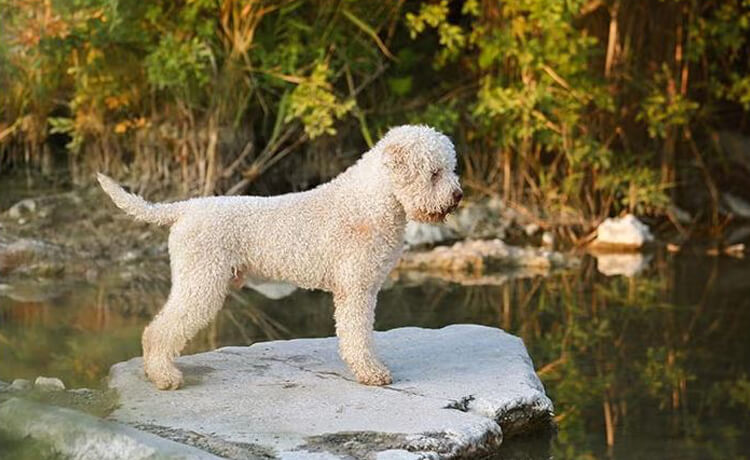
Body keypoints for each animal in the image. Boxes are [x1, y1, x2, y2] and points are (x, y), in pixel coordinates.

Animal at [98, 124, 464, 390]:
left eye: (450, 169)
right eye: (434, 172)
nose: (459, 195)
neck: (370, 203)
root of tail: (185, 208)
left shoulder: (363, 288)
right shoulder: (356, 289)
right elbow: (357, 336)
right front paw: (372, 373)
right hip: (201, 282)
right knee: (158, 330)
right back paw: (164, 377)